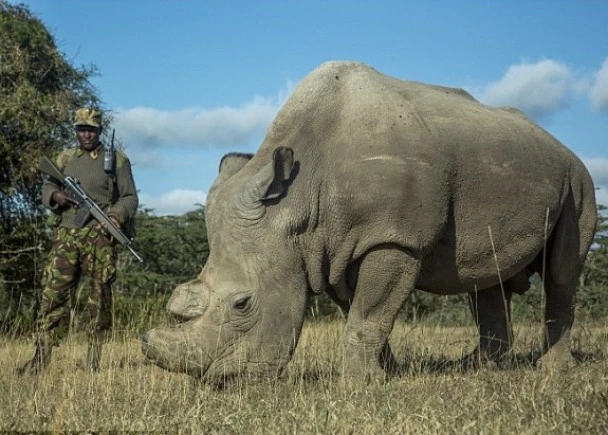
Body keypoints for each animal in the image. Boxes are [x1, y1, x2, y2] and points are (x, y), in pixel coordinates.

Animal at [142, 60, 600, 382]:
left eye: (243, 304)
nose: (219, 380)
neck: (299, 201)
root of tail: (556, 141)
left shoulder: (392, 239)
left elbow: (370, 313)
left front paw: (358, 384)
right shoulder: (333, 249)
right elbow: (362, 313)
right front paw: (385, 375)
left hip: (578, 179)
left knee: (561, 274)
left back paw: (551, 371)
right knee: (485, 277)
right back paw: (477, 368)